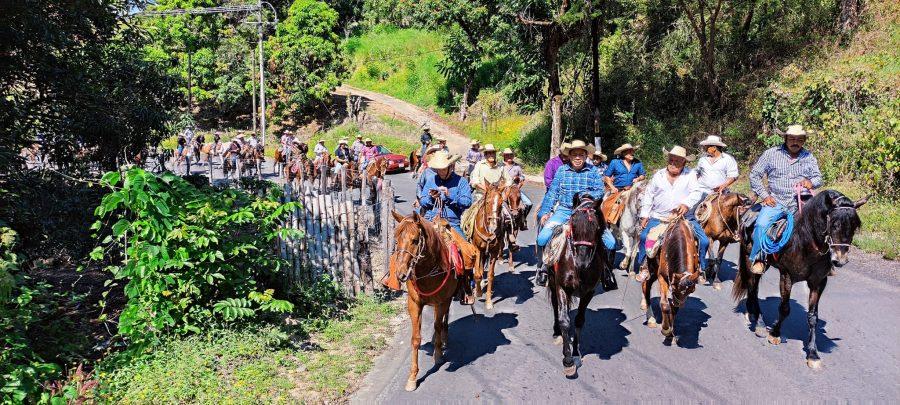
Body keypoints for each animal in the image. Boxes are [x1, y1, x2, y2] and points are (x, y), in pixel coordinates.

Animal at [388, 210, 458, 390]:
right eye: (396, 240)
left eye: (414, 240)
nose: (401, 274)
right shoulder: (414, 304)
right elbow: (415, 339)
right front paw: (412, 377)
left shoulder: (442, 301)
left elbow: (437, 326)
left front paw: (438, 355)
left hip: (446, 300)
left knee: (443, 319)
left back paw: (444, 339)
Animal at [468, 180, 510, 310]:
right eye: (487, 202)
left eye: (501, 203)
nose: (493, 225)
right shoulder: (477, 249)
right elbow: (477, 273)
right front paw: (478, 292)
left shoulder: (494, 252)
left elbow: (491, 275)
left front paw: (488, 301)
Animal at [544, 193, 608, 376]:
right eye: (573, 223)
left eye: (596, 227)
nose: (582, 262)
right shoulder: (562, 287)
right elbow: (565, 320)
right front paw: (567, 360)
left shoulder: (588, 292)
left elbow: (579, 320)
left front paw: (575, 353)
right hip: (553, 283)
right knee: (556, 306)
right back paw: (556, 331)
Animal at [732, 191, 872, 368]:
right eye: (834, 224)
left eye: (855, 225)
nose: (840, 260)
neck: (805, 243)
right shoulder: (787, 276)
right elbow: (785, 309)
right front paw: (774, 334)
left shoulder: (818, 283)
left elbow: (813, 317)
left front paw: (813, 354)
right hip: (749, 259)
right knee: (751, 286)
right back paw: (759, 323)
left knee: (754, 287)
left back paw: (753, 315)